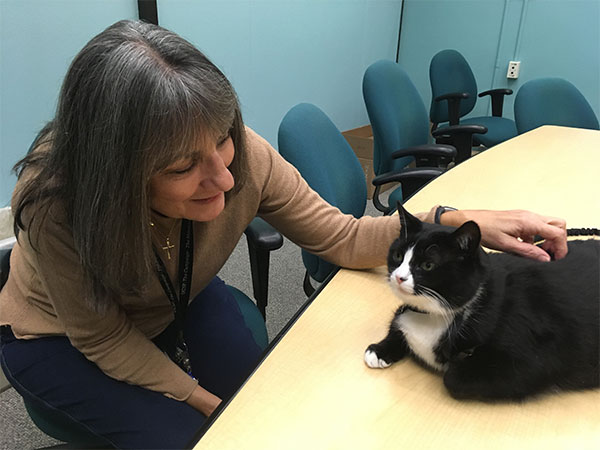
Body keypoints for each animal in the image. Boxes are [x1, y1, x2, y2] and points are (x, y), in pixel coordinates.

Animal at [366, 207, 600, 400]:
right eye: (398, 255)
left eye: (428, 265)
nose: (398, 277)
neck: (434, 315)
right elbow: (398, 322)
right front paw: (379, 350)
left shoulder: (533, 357)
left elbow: (452, 377)